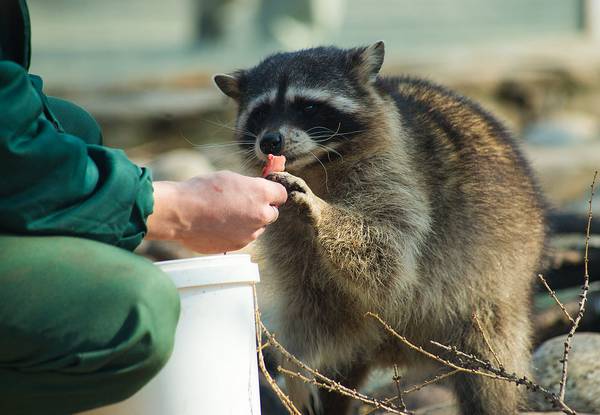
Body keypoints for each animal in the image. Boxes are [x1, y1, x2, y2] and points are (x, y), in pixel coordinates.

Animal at [213, 41, 548, 415]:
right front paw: (298, 361)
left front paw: (321, 210)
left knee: (490, 372)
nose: (270, 141)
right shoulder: (285, 232)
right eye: (260, 113)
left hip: (496, 294)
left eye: (308, 106)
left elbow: (386, 255)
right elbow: (309, 301)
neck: (318, 164)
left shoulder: (398, 177)